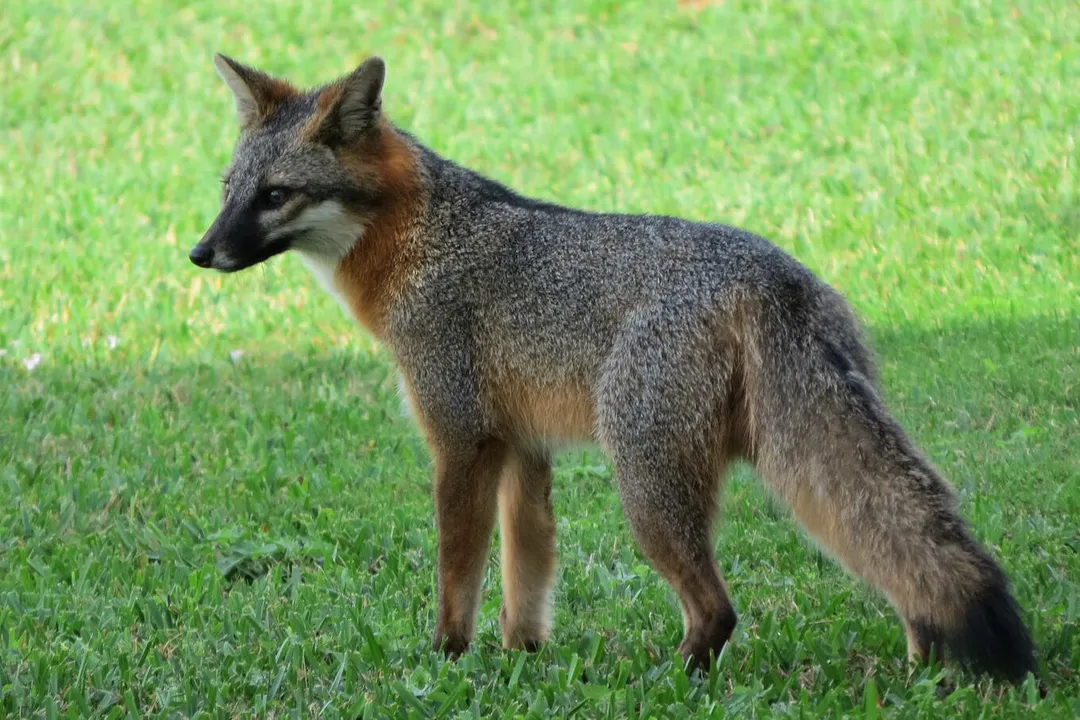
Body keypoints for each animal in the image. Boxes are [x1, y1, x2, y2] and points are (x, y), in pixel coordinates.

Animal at [189, 53, 1037, 683]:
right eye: (227, 192)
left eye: (275, 195)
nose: (199, 253)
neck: (421, 240)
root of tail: (771, 277)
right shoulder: (524, 450)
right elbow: (526, 579)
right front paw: (519, 661)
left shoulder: (460, 442)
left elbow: (457, 571)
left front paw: (447, 658)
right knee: (900, 568)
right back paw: (923, 669)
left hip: (647, 488)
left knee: (718, 609)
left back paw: (676, 674)